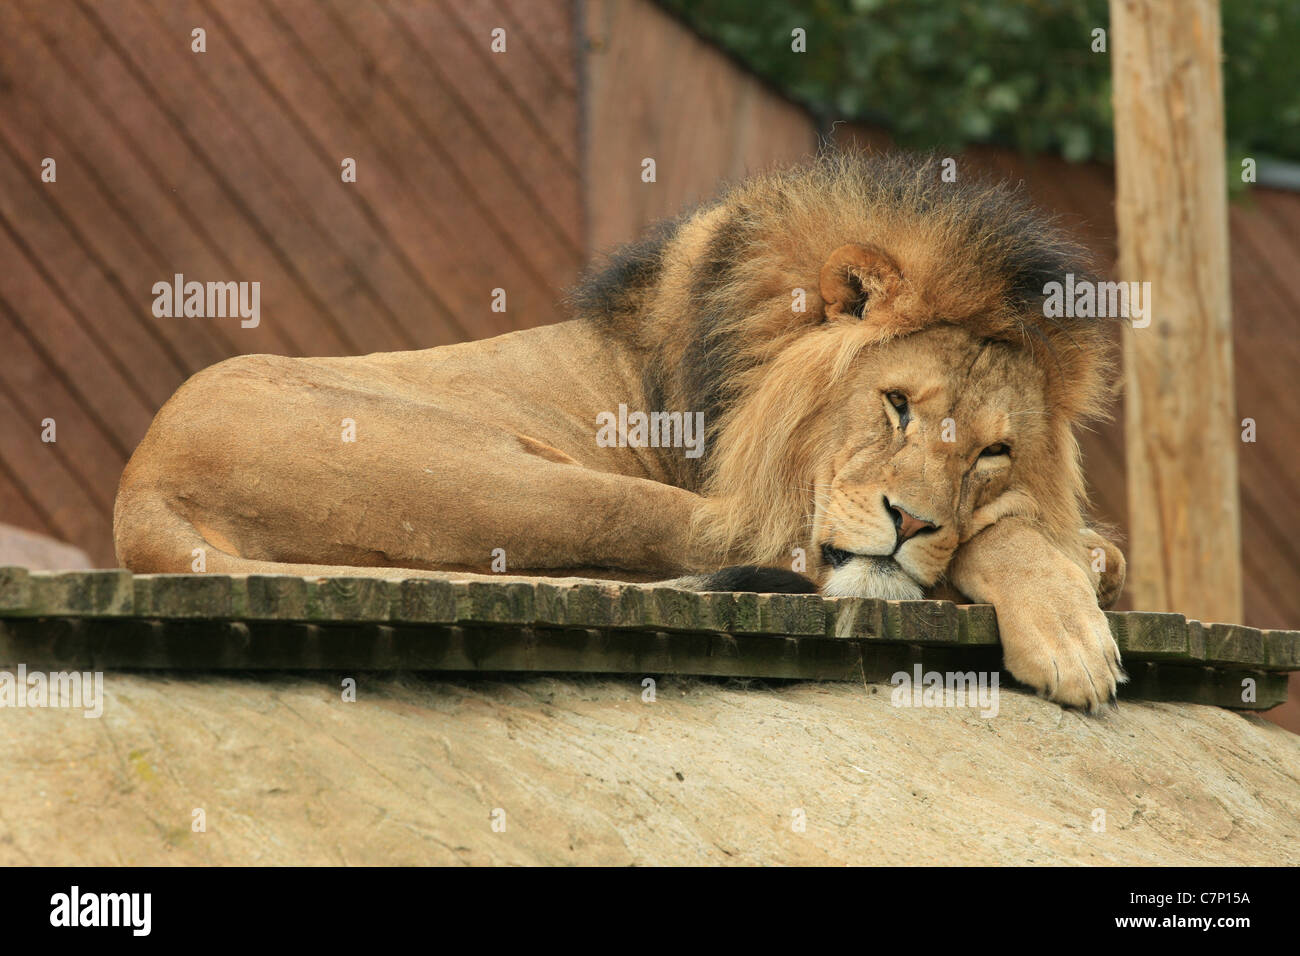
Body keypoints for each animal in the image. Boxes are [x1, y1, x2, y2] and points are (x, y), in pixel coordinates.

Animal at [114, 152, 1126, 711]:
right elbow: (997, 539)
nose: (912, 521)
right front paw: (1070, 620)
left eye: (993, 451)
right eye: (898, 404)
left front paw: (1084, 555)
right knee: (772, 552)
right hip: (533, 479)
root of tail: (139, 486)